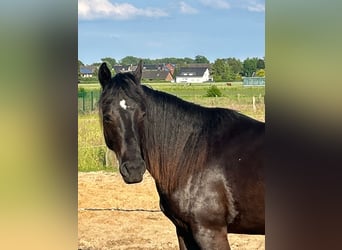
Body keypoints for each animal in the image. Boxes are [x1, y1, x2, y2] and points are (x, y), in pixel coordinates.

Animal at [98, 61, 264, 250]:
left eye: (143, 114)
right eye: (107, 117)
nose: (134, 169)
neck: (196, 157)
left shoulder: (210, 232)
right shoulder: (183, 230)